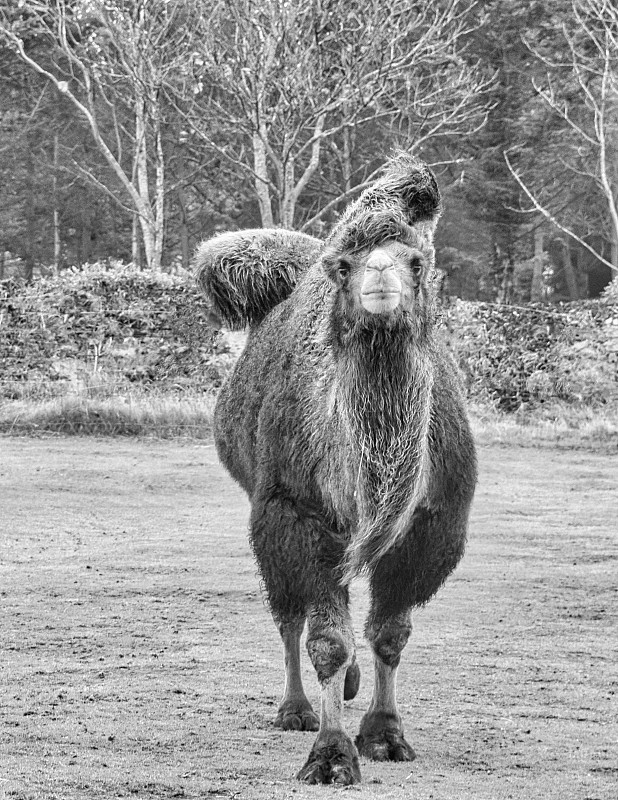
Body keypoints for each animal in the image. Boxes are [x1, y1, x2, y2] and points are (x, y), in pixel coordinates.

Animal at [192, 153, 476, 784]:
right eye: (343, 265)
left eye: (417, 261)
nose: (381, 281)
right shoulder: (294, 513)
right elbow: (326, 639)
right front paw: (330, 753)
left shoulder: (434, 523)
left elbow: (390, 634)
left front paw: (385, 735)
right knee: (288, 615)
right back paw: (295, 709)